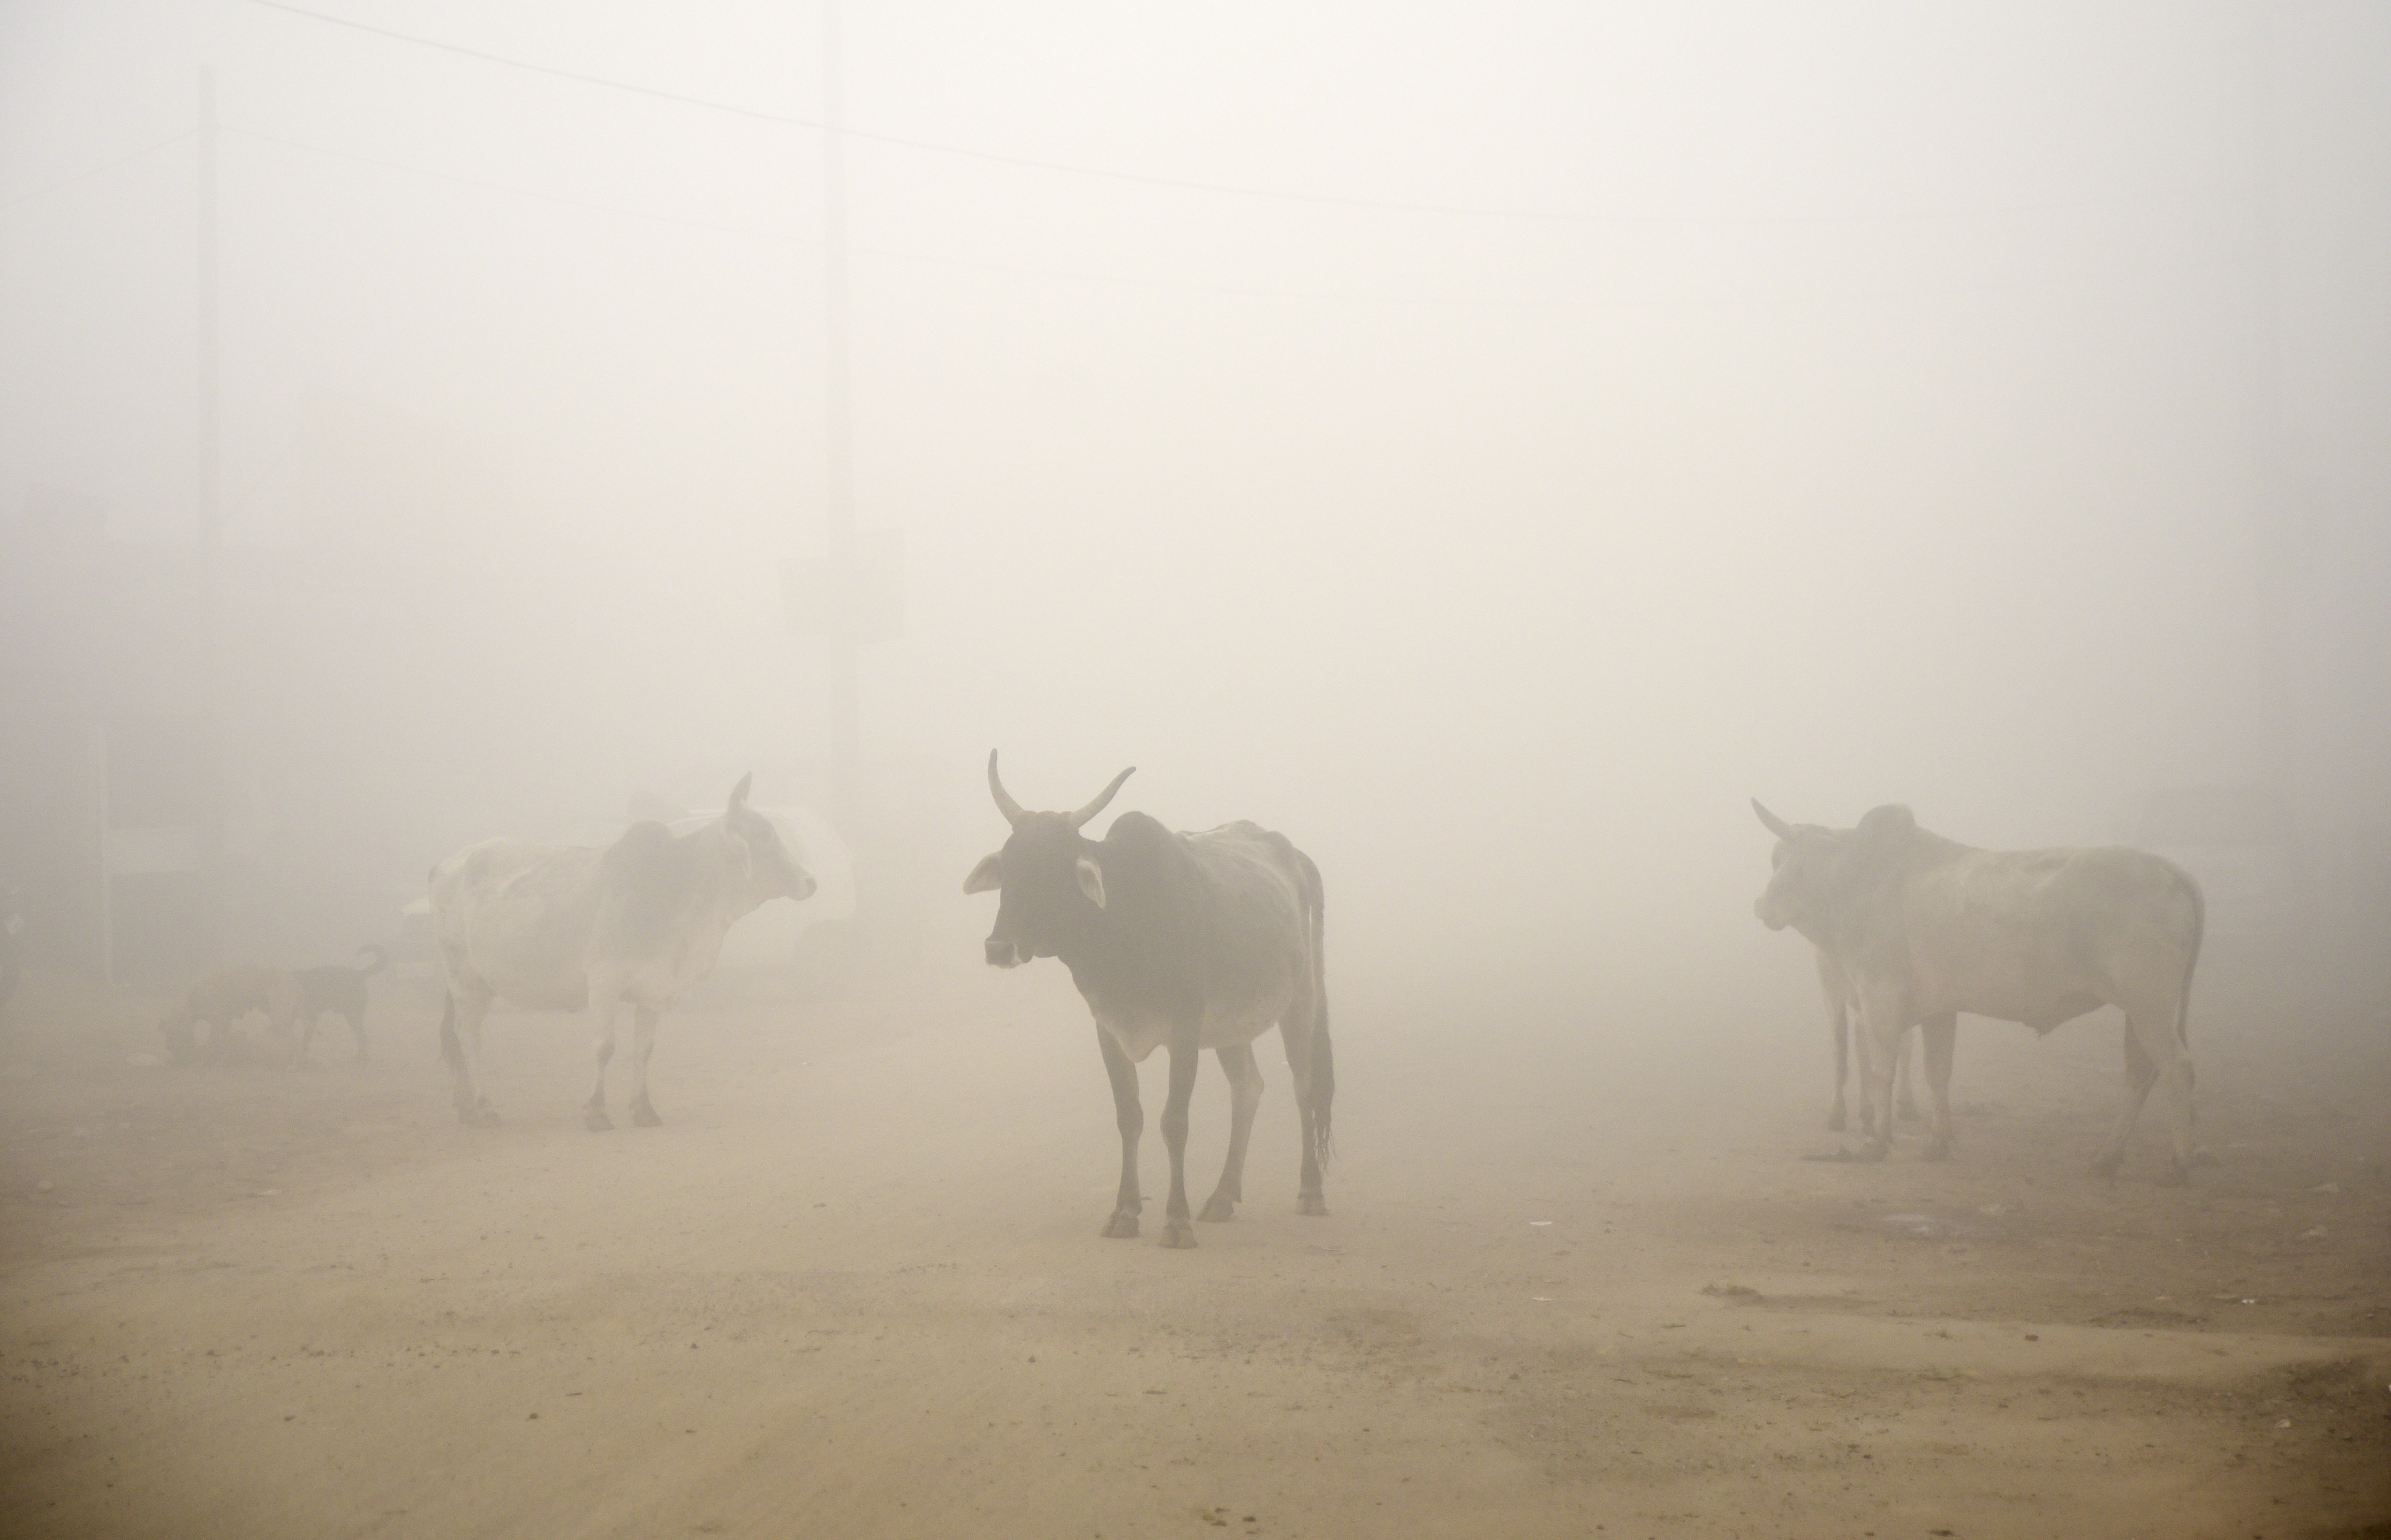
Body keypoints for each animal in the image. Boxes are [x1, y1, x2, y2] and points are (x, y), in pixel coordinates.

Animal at [160, 971, 301, 1066]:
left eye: (171, 1041)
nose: (176, 1060)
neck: (192, 1001)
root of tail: (294, 982)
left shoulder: (218, 1020)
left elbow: (215, 1041)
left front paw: (209, 1060)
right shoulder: (224, 1021)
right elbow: (223, 1041)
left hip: (281, 1016)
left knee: (292, 1040)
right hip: (286, 1018)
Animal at [291, 942, 385, 1066]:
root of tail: (360, 974)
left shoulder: (311, 1017)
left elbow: (305, 1039)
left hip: (353, 1016)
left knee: (363, 1037)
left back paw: (361, 1058)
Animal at [423, 775, 813, 1124]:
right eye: (762, 834)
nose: (811, 881)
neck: (677, 887)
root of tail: (444, 865)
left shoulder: (655, 988)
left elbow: (644, 1051)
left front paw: (644, 1109)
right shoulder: (603, 982)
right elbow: (605, 1047)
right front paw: (596, 1111)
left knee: (457, 1036)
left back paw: (465, 1108)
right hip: (464, 978)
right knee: (467, 1036)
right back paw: (483, 1107)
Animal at [966, 755, 1339, 1253]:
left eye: (1051, 870)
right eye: (1008, 868)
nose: (998, 948)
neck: (1127, 919)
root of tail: (1295, 856)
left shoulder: (1184, 1031)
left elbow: (1174, 1122)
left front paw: (1176, 1220)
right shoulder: (1108, 1029)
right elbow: (1130, 1117)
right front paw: (1125, 1212)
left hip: (1301, 999)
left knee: (1304, 1086)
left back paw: (1310, 1190)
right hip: (1231, 1025)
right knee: (1248, 1088)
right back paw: (1223, 1196)